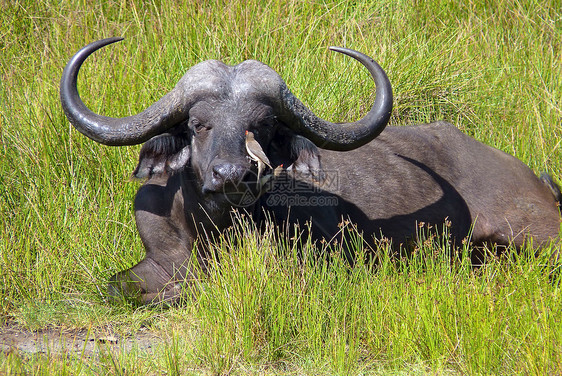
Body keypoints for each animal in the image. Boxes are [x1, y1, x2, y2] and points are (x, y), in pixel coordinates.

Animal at [59, 37, 556, 302]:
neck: (211, 233)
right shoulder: (157, 258)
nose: (231, 175)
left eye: (261, 125)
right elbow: (117, 287)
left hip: (534, 234)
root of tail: (536, 178)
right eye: (198, 125)